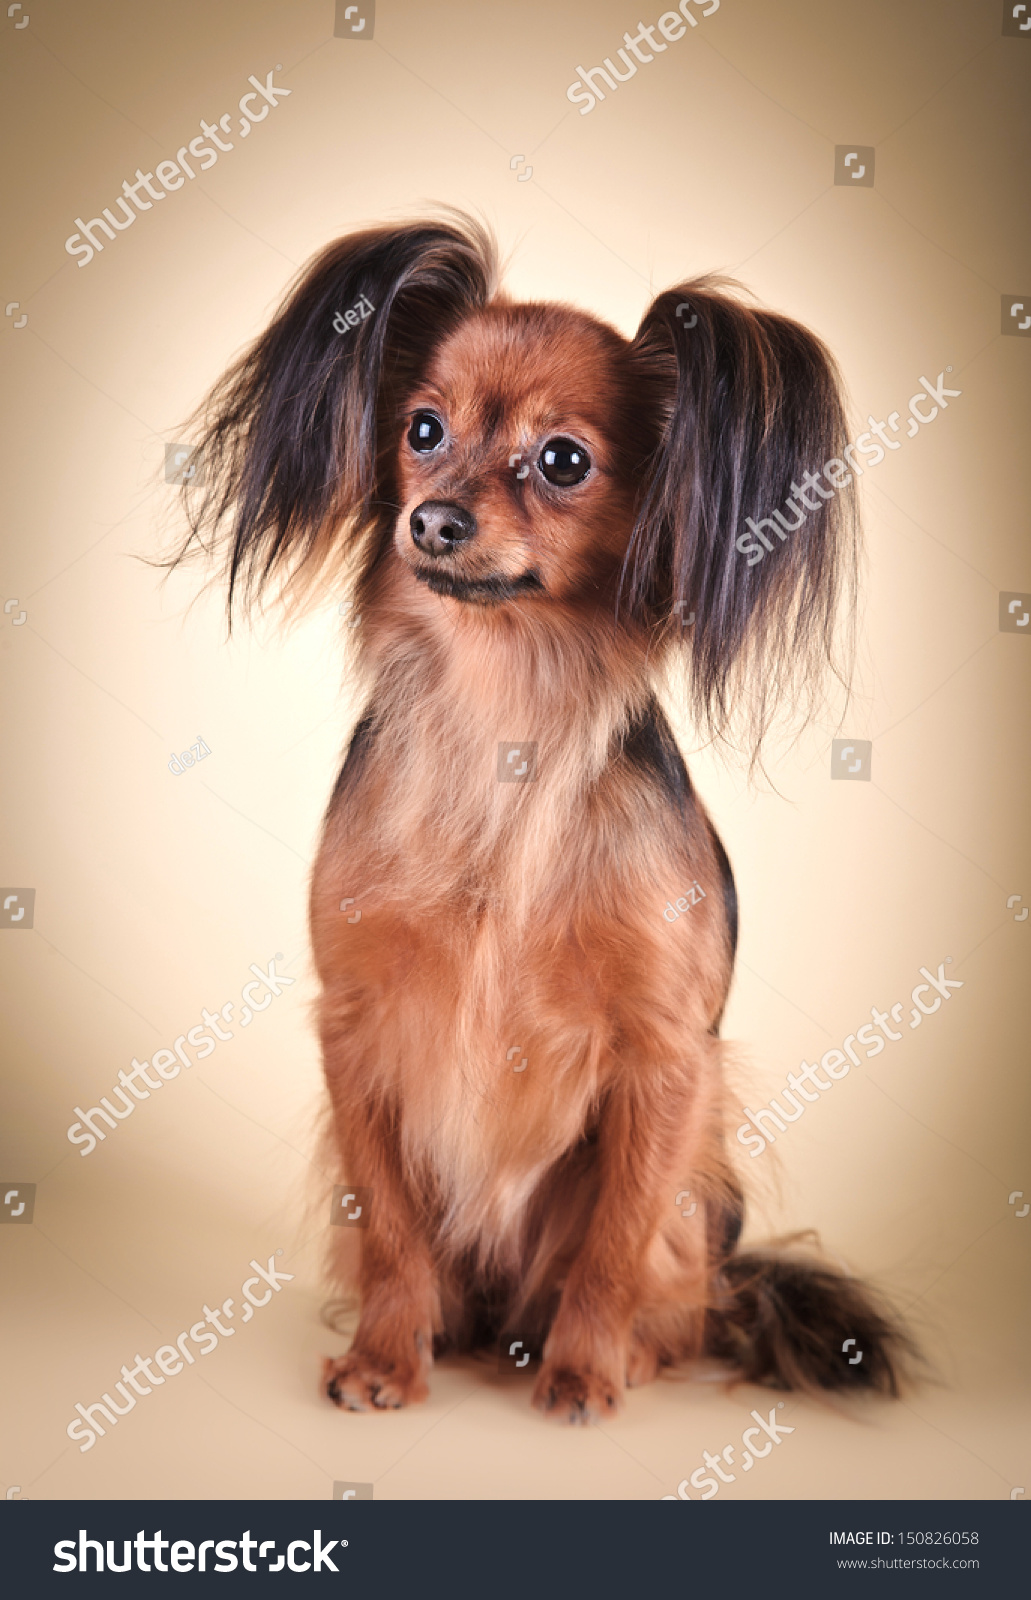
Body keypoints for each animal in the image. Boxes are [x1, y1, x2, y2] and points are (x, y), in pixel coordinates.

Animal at [176, 216, 909, 1427]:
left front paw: (584, 1371)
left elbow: (612, 1242)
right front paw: (385, 1359)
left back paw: (607, 1351)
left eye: (562, 460)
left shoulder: (664, 1061)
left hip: (695, 1205)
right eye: (421, 430)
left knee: (673, 1289)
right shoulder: (358, 1028)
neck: (504, 713)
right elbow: (391, 1228)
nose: (432, 517)